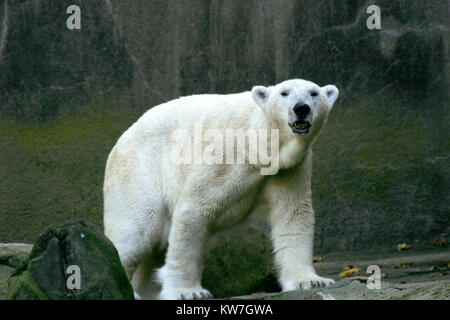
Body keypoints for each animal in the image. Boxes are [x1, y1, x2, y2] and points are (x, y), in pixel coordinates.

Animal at [103, 79, 340, 298]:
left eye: (314, 93)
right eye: (284, 93)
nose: (301, 108)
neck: (260, 142)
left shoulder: (289, 169)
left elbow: (293, 214)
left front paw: (310, 281)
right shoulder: (225, 156)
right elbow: (195, 209)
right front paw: (189, 292)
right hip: (140, 171)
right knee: (135, 231)